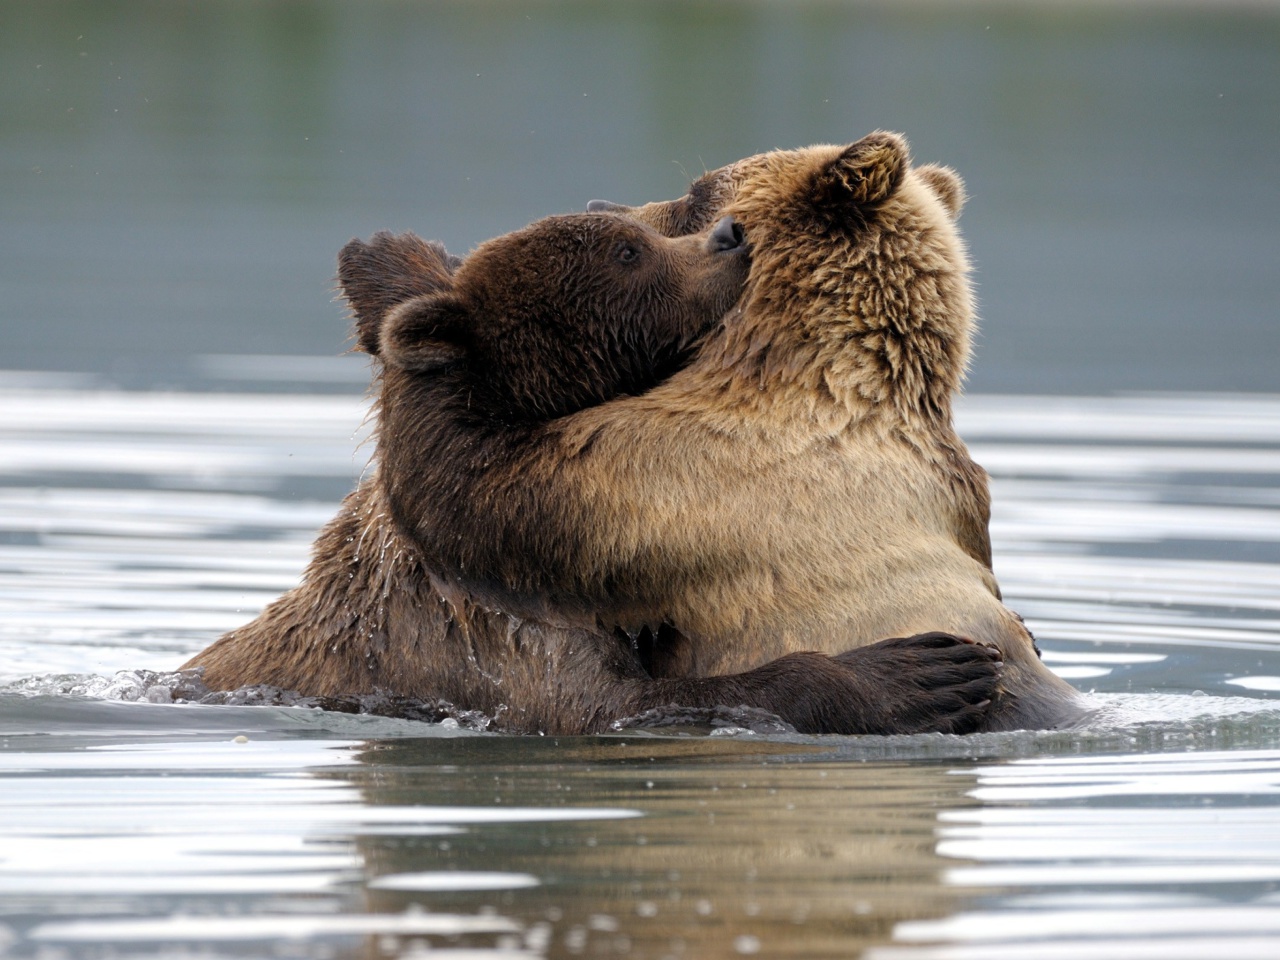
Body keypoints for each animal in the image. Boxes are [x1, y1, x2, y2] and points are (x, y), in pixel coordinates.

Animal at [183, 208, 998, 737]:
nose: (731, 235)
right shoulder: (496, 640)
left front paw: (386, 255)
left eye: (636, 232)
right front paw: (926, 674)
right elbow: (612, 706)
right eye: (628, 252)